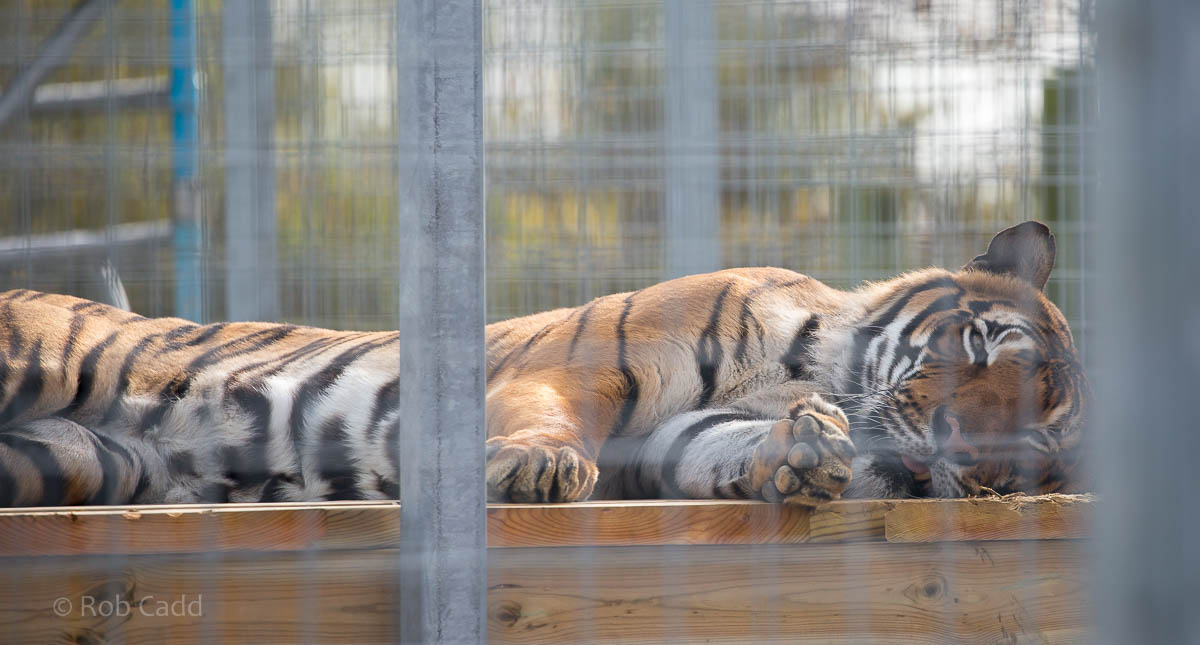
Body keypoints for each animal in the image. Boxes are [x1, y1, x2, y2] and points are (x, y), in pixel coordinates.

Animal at [0, 220, 1087, 507]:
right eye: (985, 345)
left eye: (1029, 459)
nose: (964, 456)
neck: (818, 372)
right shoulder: (580, 365)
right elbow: (554, 419)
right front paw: (537, 467)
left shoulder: (681, 437)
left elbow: (729, 448)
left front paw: (803, 455)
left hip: (81, 460)